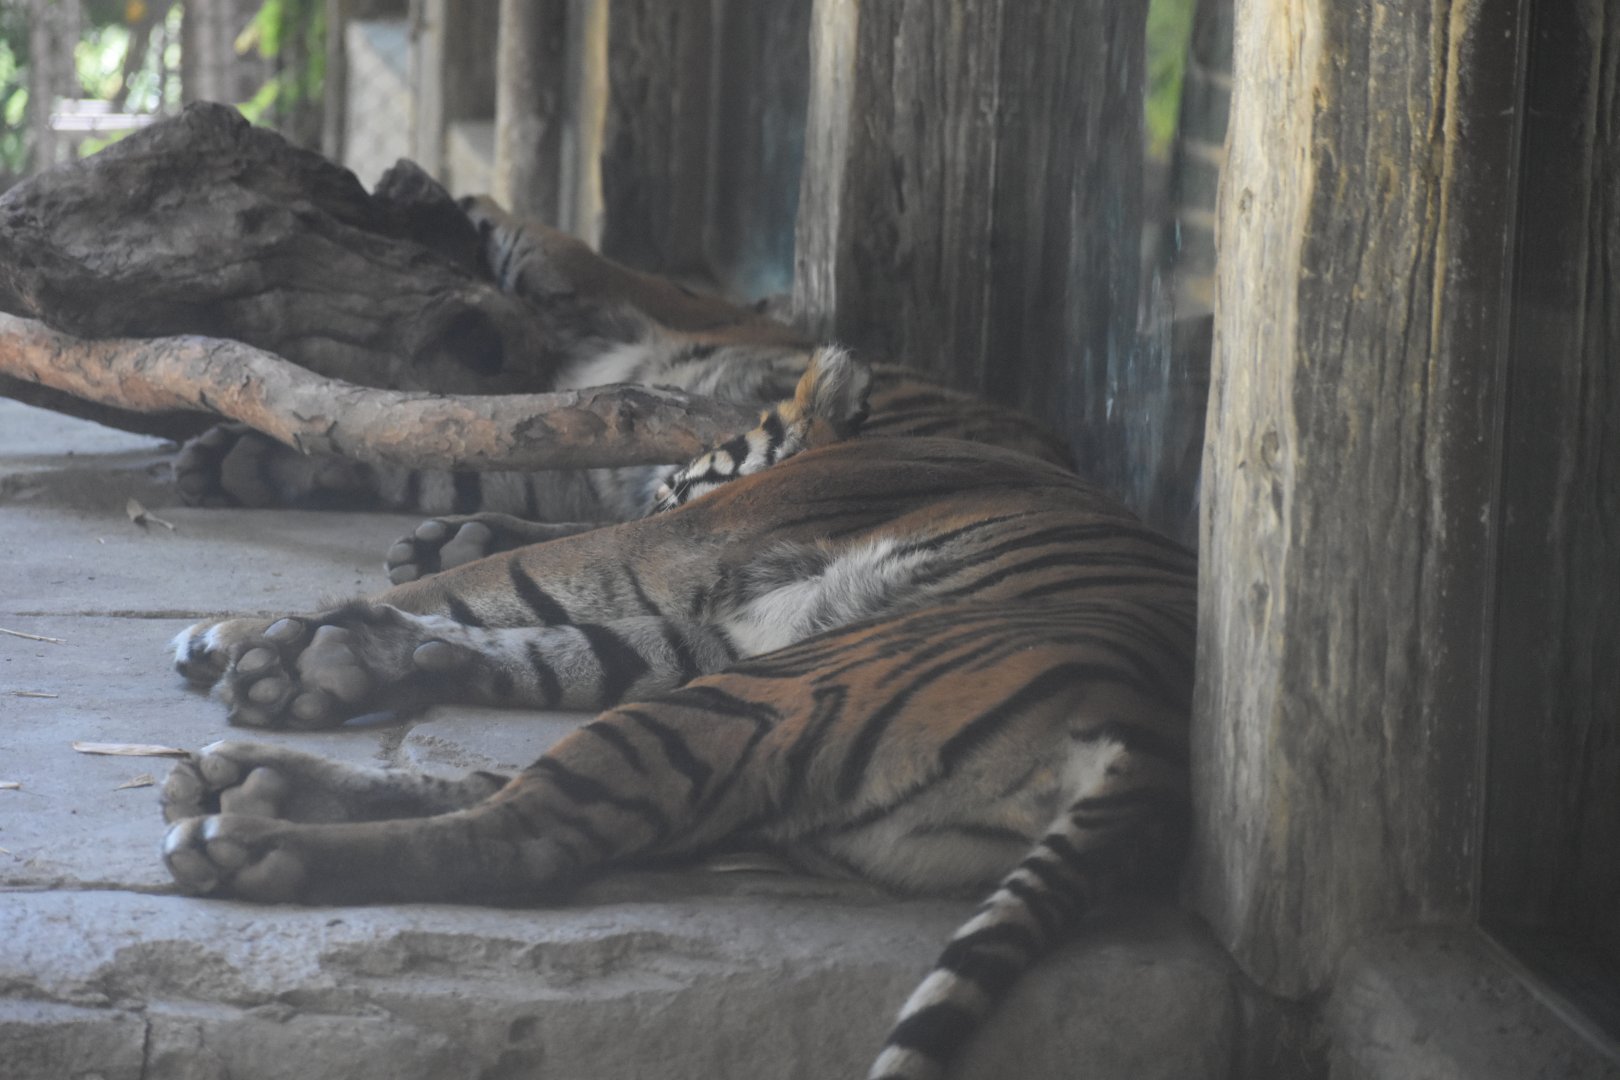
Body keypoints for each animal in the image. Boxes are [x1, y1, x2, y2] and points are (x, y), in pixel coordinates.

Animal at [160, 348, 1197, 1080]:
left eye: (676, 486)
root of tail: (1152, 748)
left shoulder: (693, 549)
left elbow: (511, 579)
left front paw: (243, 635)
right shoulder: (705, 627)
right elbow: (559, 637)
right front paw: (311, 647)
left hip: (776, 691)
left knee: (523, 840)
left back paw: (246, 838)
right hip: (763, 722)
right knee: (523, 791)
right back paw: (253, 775)